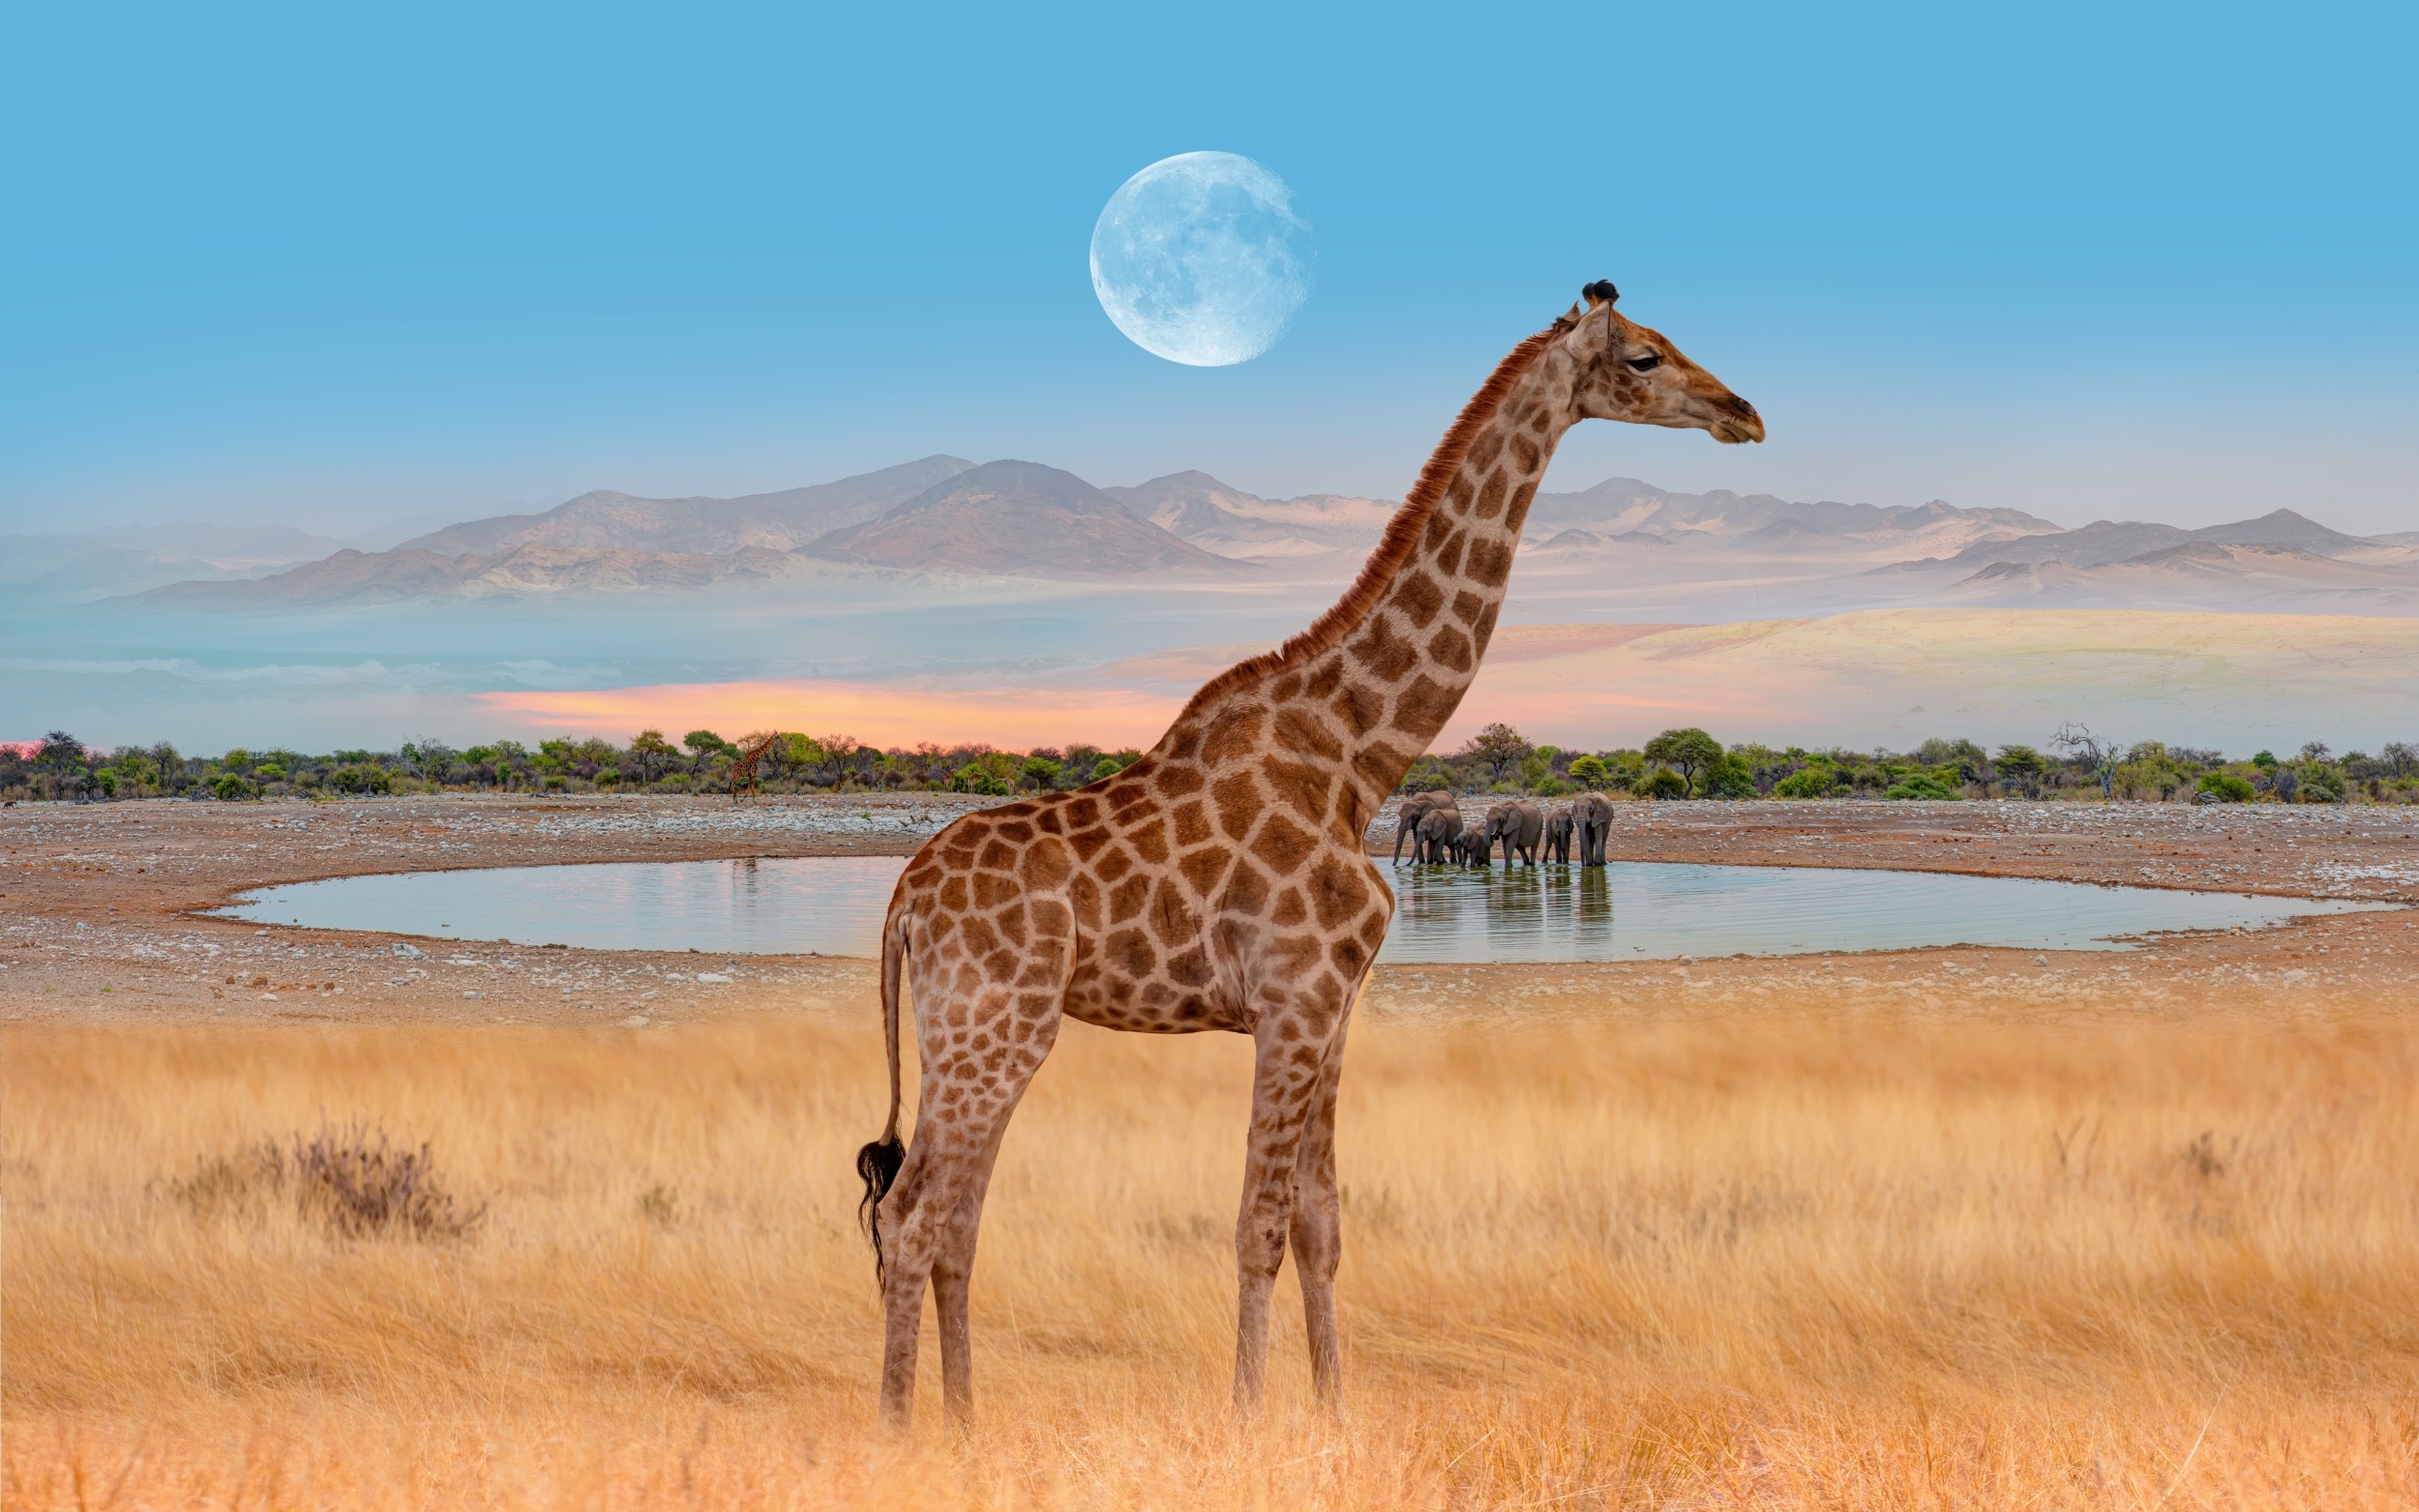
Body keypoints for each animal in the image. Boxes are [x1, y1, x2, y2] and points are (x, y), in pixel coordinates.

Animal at [855, 281, 1761, 1428]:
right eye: (1644, 356)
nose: (1744, 413)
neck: (1359, 754)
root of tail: (904, 900)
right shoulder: (1290, 998)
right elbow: (1256, 1226)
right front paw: (1248, 1420)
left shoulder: (1335, 1008)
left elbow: (1321, 1226)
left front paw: (1335, 1417)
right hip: (996, 1027)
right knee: (916, 1216)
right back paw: (902, 1434)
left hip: (967, 1032)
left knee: (946, 1217)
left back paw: (967, 1426)